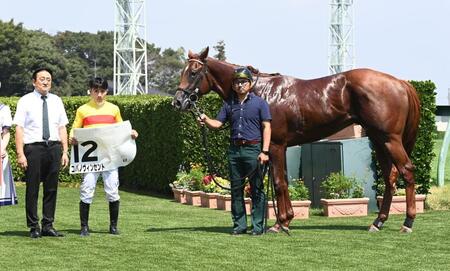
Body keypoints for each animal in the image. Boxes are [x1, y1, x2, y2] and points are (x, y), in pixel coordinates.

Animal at [173, 47, 422, 234]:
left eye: (194, 72)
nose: (178, 102)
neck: (260, 92)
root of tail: (399, 82)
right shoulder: (280, 148)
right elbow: (282, 181)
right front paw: (286, 220)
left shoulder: (275, 146)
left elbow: (279, 183)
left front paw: (279, 223)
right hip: (378, 141)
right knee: (390, 177)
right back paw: (377, 222)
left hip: (390, 140)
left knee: (407, 171)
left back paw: (407, 223)